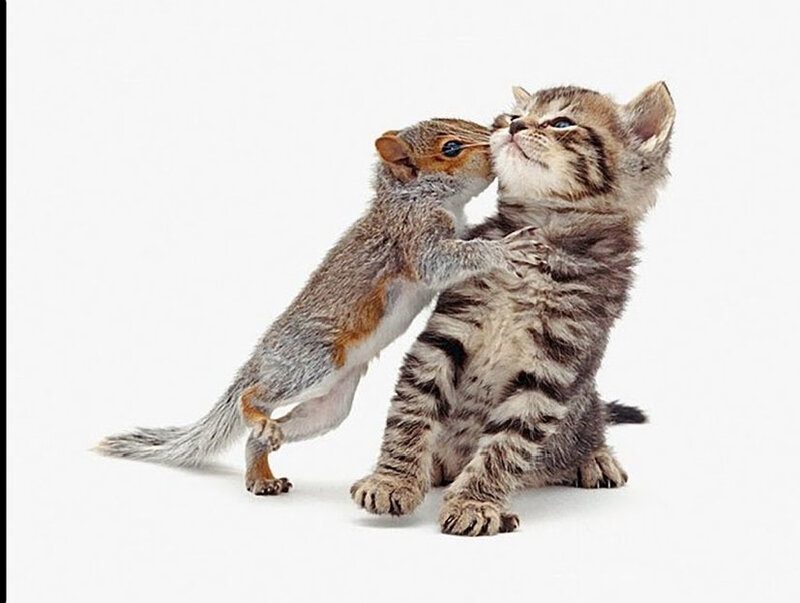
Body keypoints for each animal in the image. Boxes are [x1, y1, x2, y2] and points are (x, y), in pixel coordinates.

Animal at [96, 118, 542, 495]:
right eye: (451, 148)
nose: (499, 132)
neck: (411, 198)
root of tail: (261, 358)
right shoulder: (414, 237)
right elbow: (442, 262)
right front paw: (502, 250)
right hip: (311, 361)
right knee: (254, 398)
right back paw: (254, 412)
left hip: (329, 408)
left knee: (261, 437)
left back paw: (262, 472)